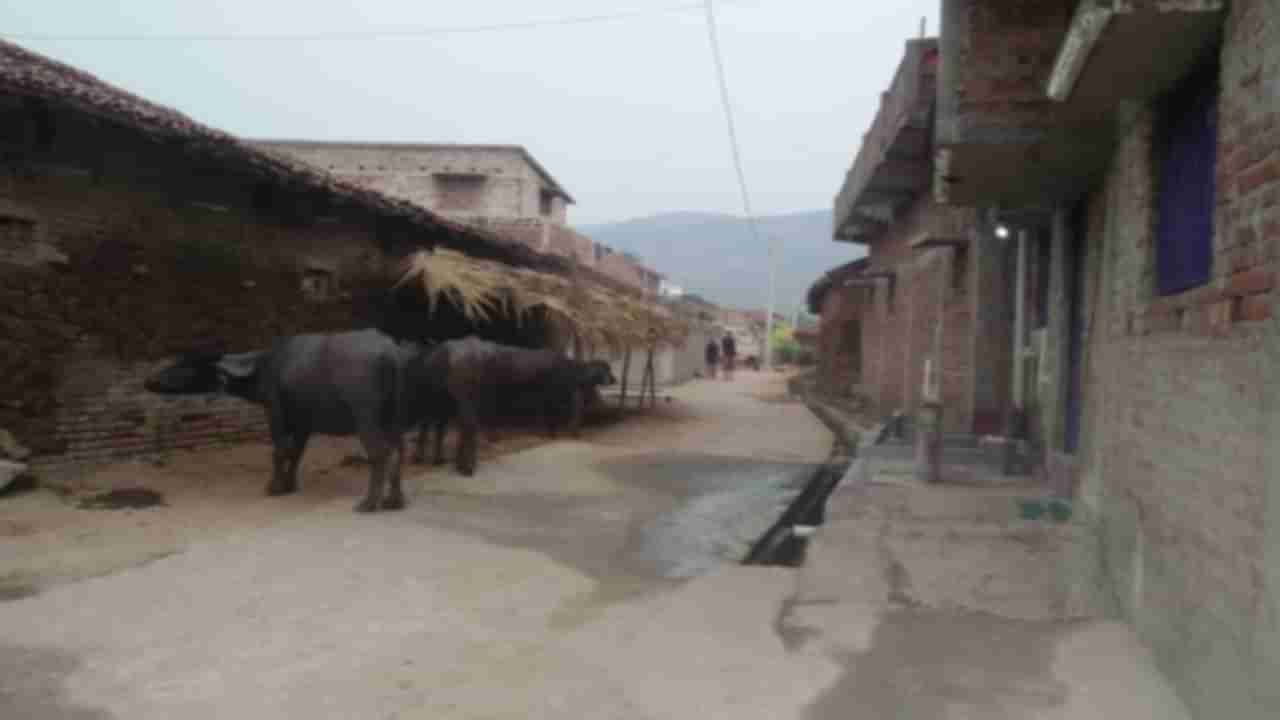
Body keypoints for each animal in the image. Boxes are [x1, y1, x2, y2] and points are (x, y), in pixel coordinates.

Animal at [141, 330, 445, 509]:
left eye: (185, 365)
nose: (149, 380)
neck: (264, 365)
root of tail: (391, 352)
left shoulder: (275, 413)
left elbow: (278, 450)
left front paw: (275, 486)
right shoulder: (303, 423)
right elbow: (296, 452)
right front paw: (290, 484)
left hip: (366, 417)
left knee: (380, 454)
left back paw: (369, 503)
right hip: (395, 417)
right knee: (399, 451)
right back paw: (395, 499)